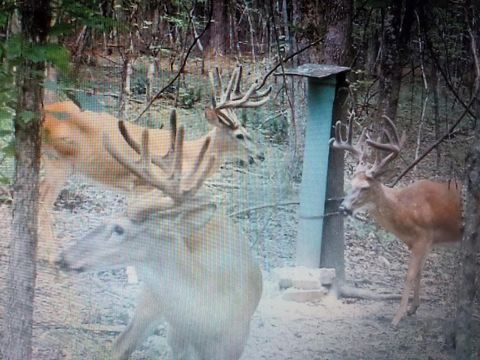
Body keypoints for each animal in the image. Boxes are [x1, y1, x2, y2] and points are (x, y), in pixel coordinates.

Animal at [39, 65, 272, 262]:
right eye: (240, 135)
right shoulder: (144, 185)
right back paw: (52, 254)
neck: (190, 155)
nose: (261, 155)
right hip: (59, 162)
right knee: (44, 205)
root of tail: (44, 114)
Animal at [59, 119, 266, 360]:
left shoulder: (234, 344)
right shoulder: (177, 338)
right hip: (151, 300)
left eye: (119, 229)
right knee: (121, 344)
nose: (63, 257)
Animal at [332, 114, 464, 328]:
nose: (343, 207)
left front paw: (397, 317)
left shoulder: (424, 236)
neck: (406, 211)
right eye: (350, 183)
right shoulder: (427, 241)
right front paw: (413, 308)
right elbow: (419, 272)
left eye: (365, 187)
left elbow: (409, 275)